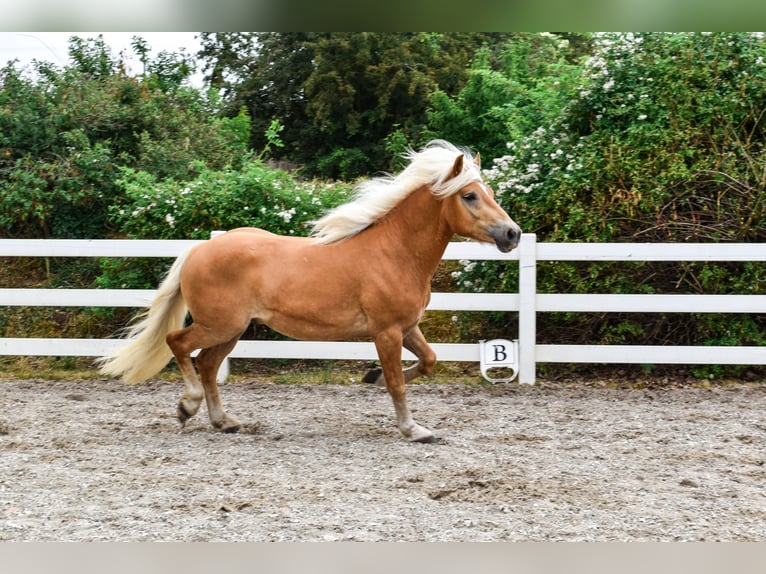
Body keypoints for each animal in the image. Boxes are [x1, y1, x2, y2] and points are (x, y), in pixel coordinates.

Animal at [100, 141, 520, 446]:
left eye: (490, 191)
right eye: (470, 196)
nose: (512, 234)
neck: (395, 252)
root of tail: (199, 249)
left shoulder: (407, 327)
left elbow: (429, 360)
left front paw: (371, 378)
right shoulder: (385, 332)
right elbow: (398, 383)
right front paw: (413, 429)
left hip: (232, 330)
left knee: (206, 364)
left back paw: (225, 421)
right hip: (219, 324)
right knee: (178, 343)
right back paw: (187, 407)